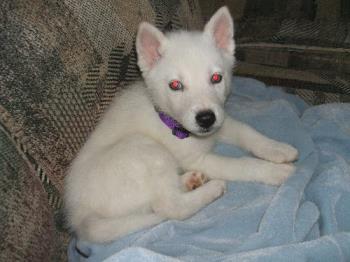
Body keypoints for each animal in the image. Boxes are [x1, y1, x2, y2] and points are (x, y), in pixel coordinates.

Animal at [63, 6, 298, 244]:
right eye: (175, 85)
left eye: (216, 78)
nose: (205, 119)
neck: (174, 125)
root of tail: (81, 216)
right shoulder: (198, 159)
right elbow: (242, 164)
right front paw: (275, 171)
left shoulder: (220, 121)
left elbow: (247, 131)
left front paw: (277, 148)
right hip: (145, 149)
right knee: (170, 207)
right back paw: (212, 188)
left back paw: (190, 180)